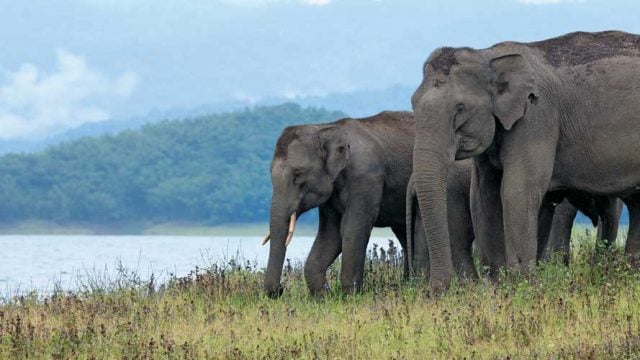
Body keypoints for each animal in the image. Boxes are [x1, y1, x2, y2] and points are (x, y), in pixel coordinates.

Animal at [260, 109, 476, 298]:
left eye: (298, 176)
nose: (280, 290)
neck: (326, 128)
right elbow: (330, 235)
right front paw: (324, 298)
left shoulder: (366, 177)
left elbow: (353, 228)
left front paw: (351, 297)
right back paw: (409, 284)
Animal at [410, 29, 640, 292]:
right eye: (412, 104)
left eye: (460, 108)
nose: (436, 291)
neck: (488, 55)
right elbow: (483, 195)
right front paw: (497, 285)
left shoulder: (537, 118)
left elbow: (517, 189)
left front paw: (522, 285)